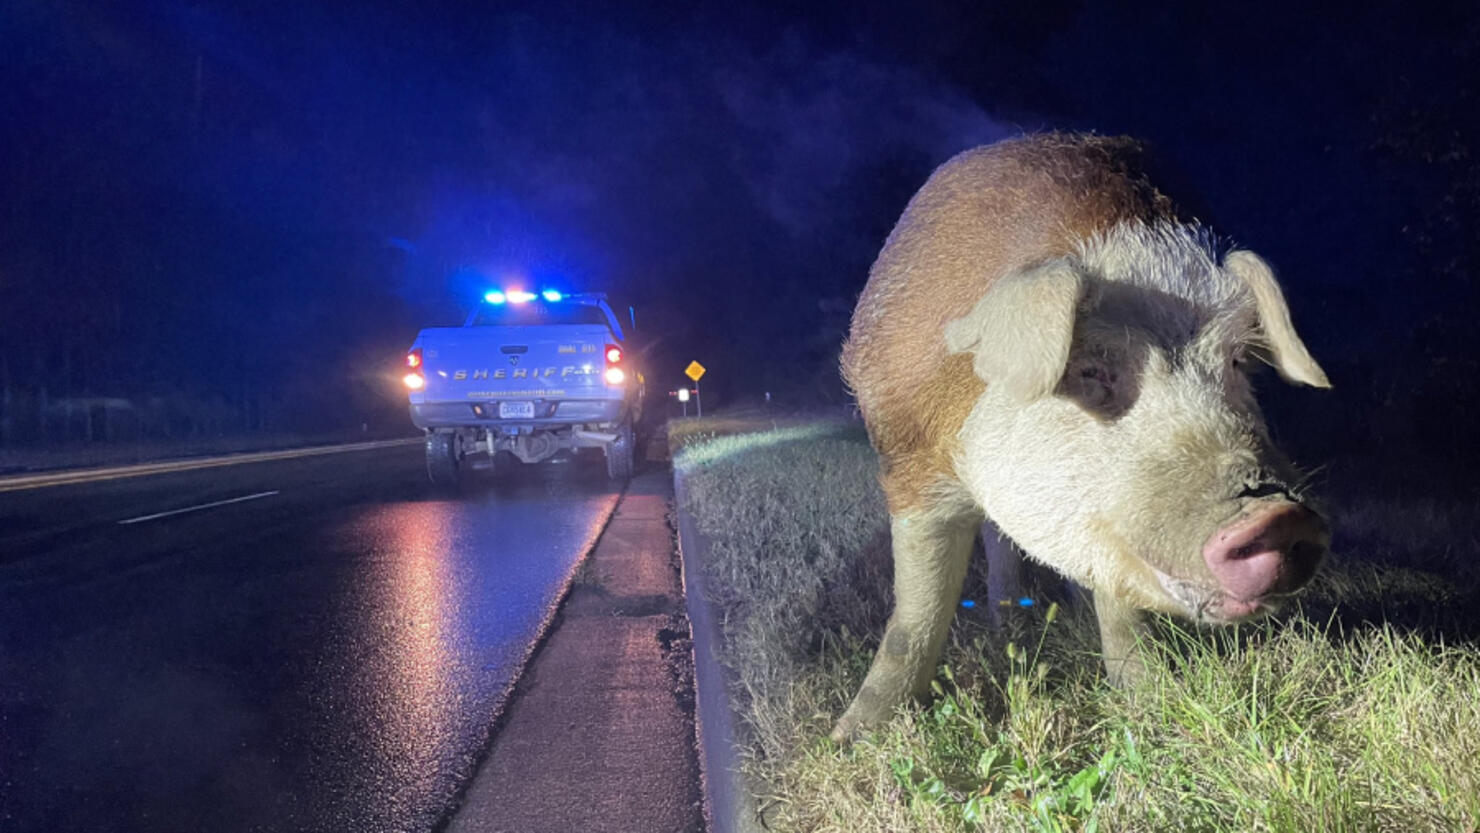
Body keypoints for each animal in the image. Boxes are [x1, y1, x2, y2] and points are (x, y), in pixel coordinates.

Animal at [840, 136, 1337, 742]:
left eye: (1238, 360)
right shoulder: (909, 462)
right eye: (1091, 370)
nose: (1277, 514)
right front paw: (853, 739)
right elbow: (918, 610)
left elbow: (1117, 601)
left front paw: (1150, 698)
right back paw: (1009, 621)